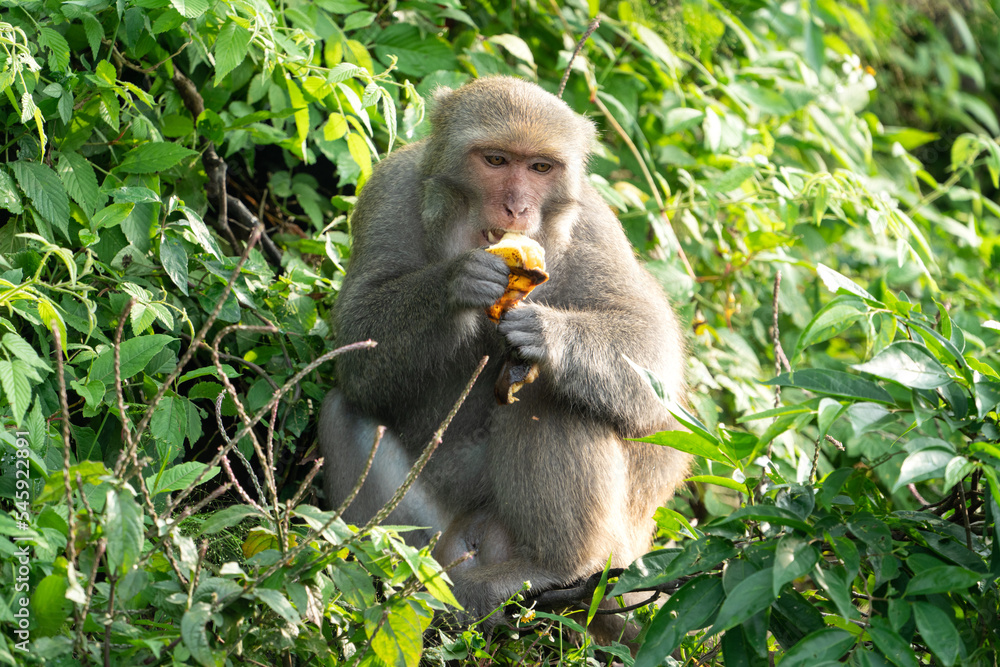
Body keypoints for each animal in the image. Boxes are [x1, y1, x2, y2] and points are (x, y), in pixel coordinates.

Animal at [320, 74, 688, 640]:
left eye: (540, 168)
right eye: (495, 161)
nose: (516, 208)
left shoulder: (594, 227)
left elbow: (654, 363)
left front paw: (548, 335)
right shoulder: (388, 192)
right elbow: (359, 351)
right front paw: (459, 282)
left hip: (599, 547)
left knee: (551, 395)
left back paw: (553, 567)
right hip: (435, 536)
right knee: (345, 410)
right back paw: (398, 575)